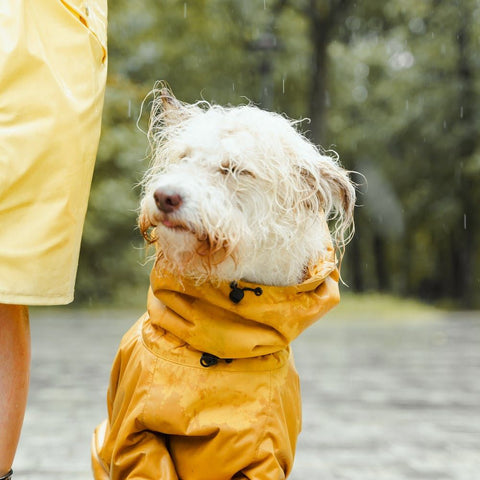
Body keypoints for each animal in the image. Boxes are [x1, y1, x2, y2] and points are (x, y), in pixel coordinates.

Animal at [92, 87, 356, 480]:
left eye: (235, 170)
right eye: (183, 158)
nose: (165, 196)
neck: (224, 338)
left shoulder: (266, 455)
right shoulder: (137, 439)